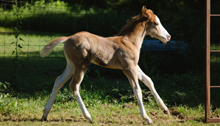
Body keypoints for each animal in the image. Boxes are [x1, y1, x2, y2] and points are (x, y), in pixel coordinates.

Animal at [40, 6, 171, 124]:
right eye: (156, 23)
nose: (168, 37)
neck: (130, 42)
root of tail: (69, 38)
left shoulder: (134, 66)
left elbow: (149, 80)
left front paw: (165, 109)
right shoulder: (128, 68)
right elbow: (137, 90)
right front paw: (147, 118)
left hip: (72, 65)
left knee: (59, 80)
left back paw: (45, 114)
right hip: (82, 65)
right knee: (74, 85)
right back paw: (88, 117)